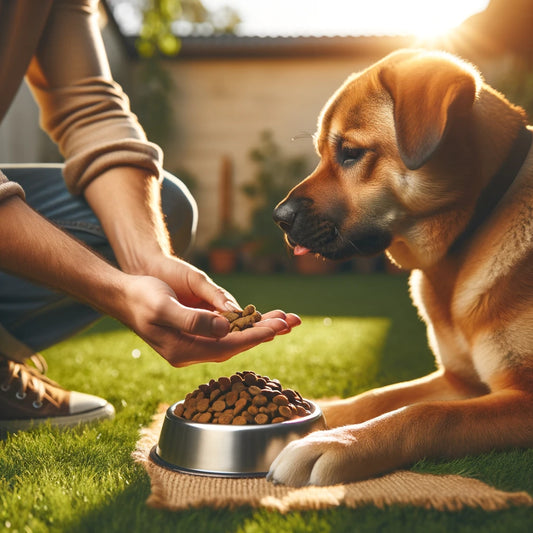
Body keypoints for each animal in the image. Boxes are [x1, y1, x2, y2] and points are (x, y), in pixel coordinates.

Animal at [270, 50, 532, 486]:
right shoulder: (458, 381)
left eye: (351, 152)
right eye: (322, 152)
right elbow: (378, 396)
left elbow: (428, 415)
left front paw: (339, 442)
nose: (279, 219)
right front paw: (322, 413)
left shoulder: (519, 395)